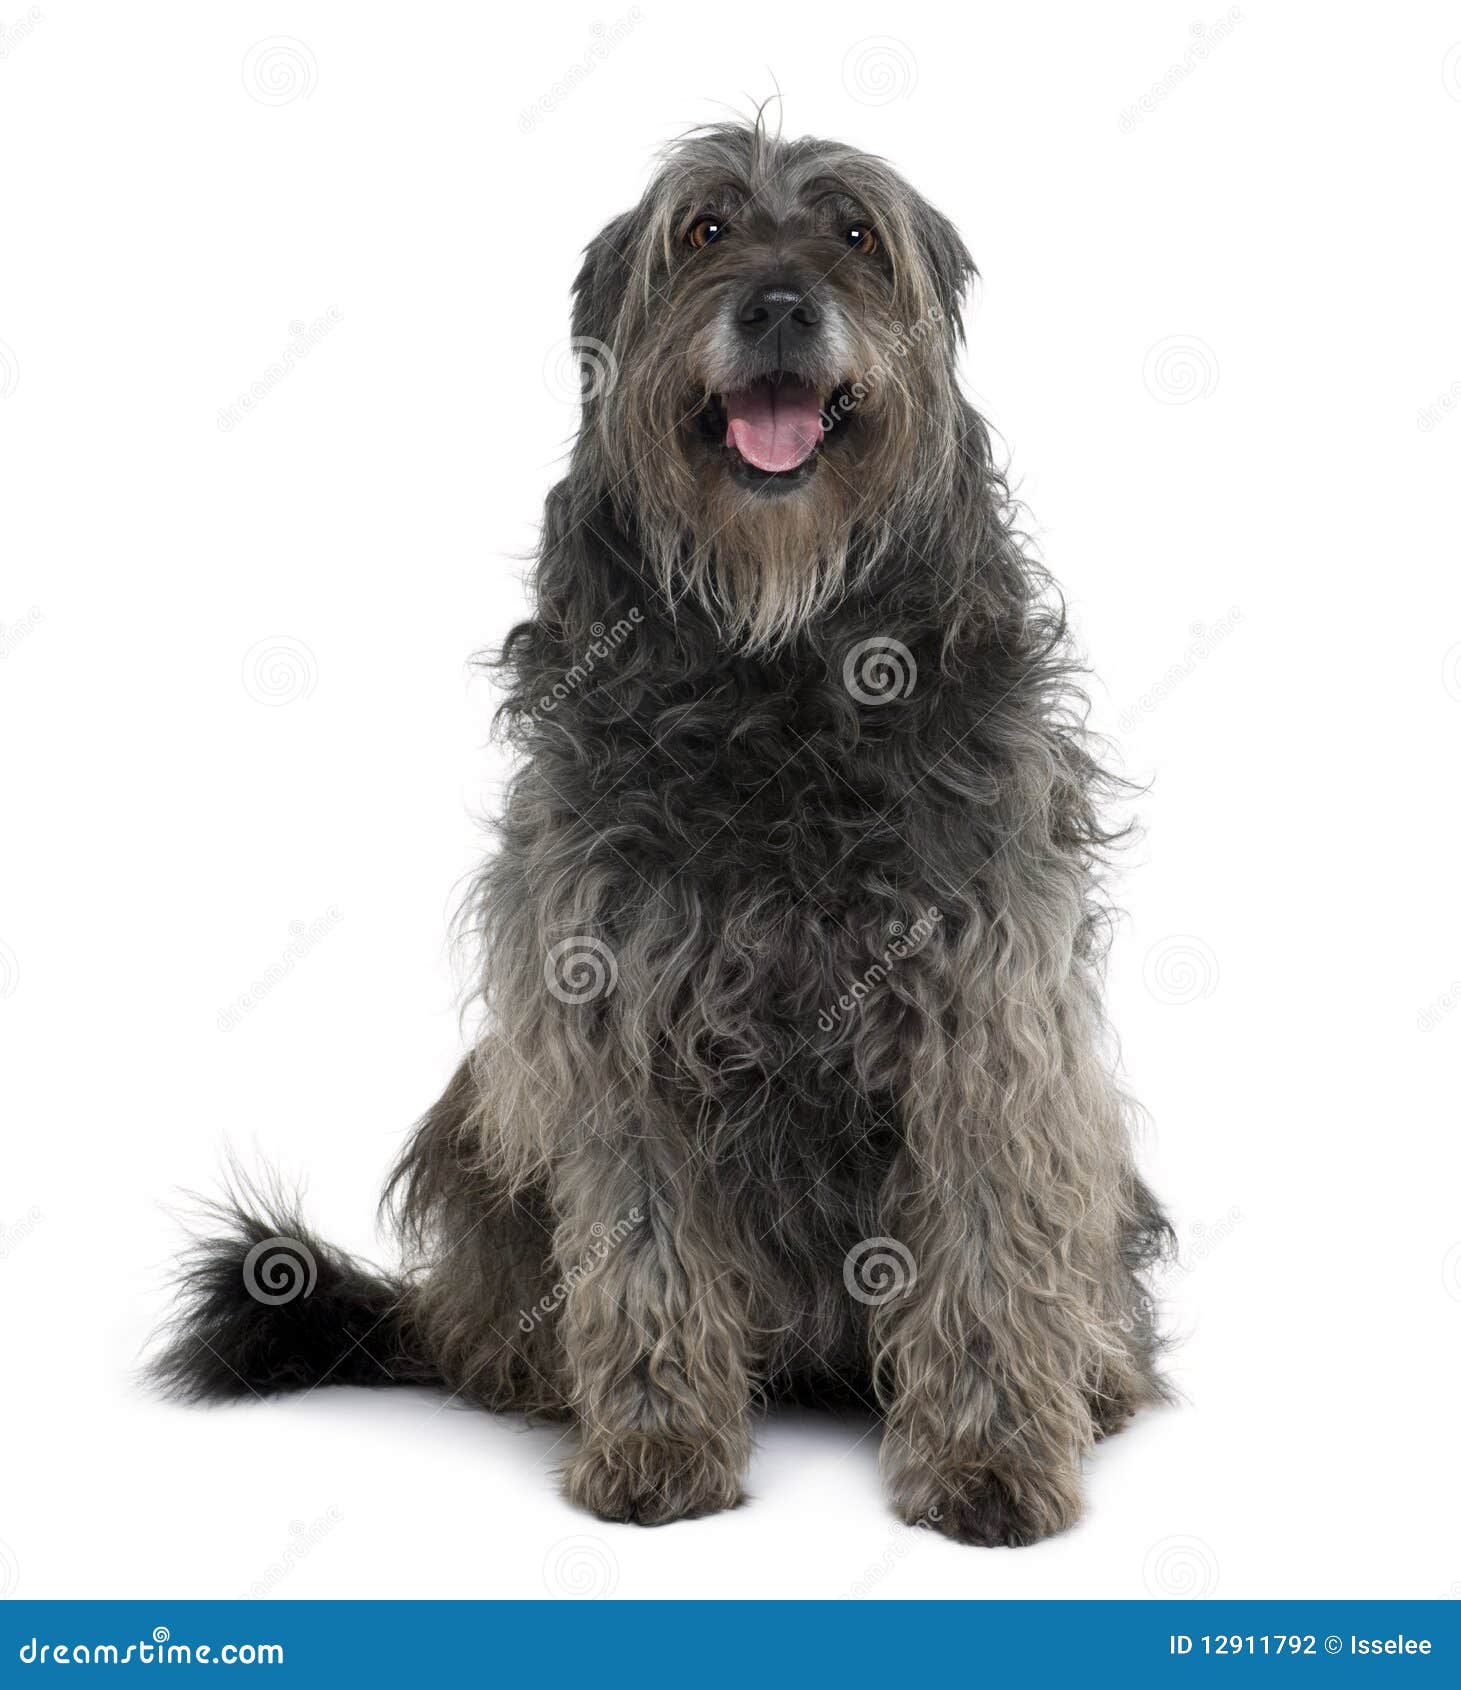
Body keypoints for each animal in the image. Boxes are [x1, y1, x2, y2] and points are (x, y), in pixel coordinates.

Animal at [157, 115, 1176, 1548]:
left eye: (856, 234)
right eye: (701, 231)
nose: (780, 302)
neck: (778, 657)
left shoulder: (985, 1012)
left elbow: (985, 1235)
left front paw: (986, 1458)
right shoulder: (610, 1006)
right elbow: (642, 1237)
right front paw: (655, 1441)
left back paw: (1089, 1372)